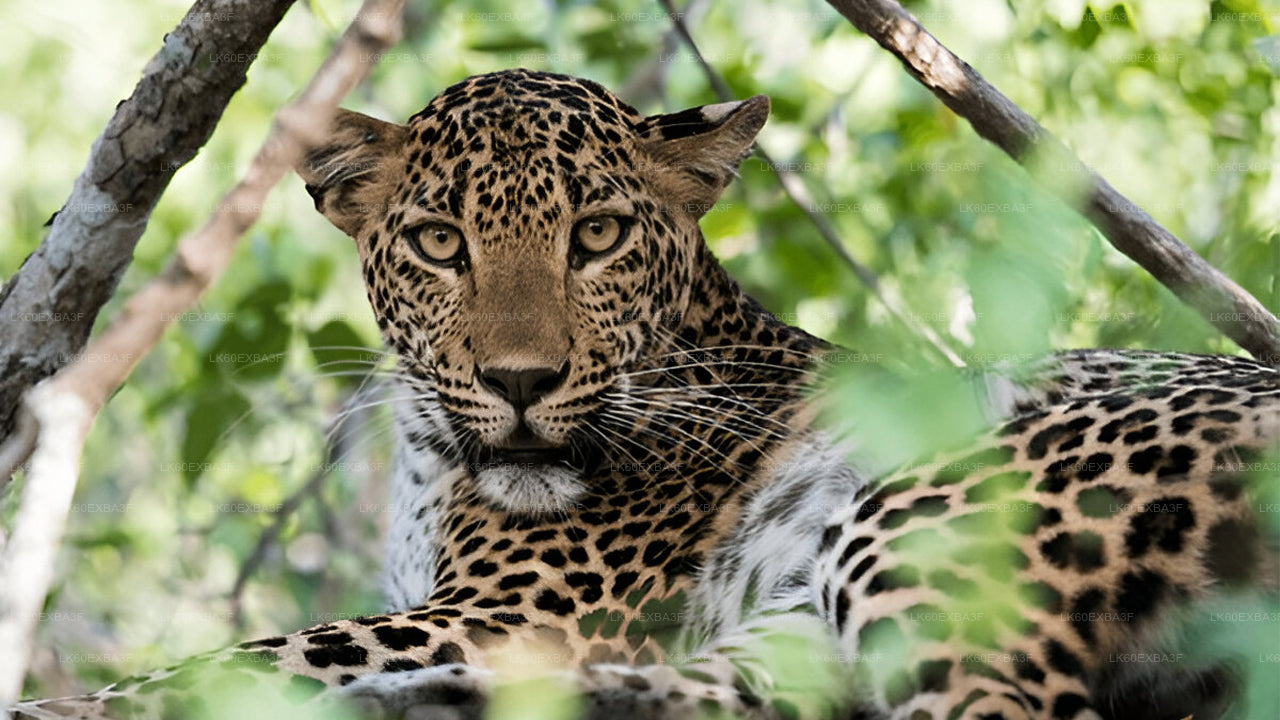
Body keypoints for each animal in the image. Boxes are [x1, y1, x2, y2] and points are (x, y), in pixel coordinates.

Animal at [9, 69, 1279, 720]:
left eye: (598, 236)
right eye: (437, 243)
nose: (521, 383)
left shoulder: (507, 611)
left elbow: (221, 663)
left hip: (933, 511)